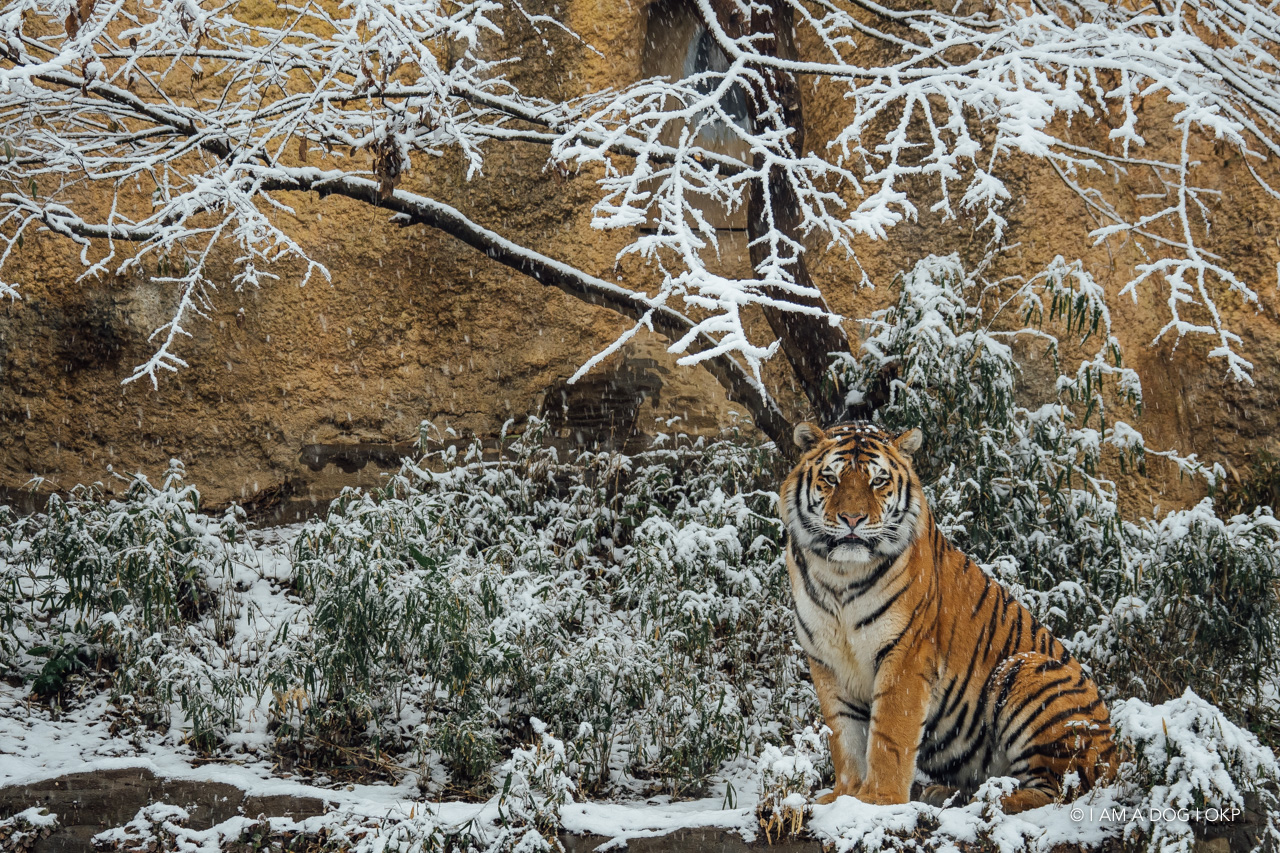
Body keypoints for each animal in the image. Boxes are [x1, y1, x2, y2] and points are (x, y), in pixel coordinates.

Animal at [778, 421, 1116, 813]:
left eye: (878, 481)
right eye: (831, 478)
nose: (852, 519)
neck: (840, 576)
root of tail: (1117, 751)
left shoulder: (905, 653)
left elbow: (890, 733)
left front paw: (879, 800)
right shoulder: (826, 660)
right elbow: (843, 735)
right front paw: (843, 796)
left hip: (1028, 671)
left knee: (1061, 790)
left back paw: (991, 798)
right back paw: (945, 793)